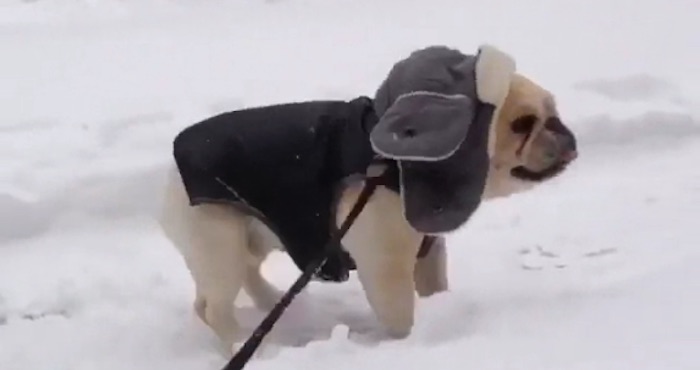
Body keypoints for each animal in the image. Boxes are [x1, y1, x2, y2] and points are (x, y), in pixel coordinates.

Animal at [156, 46, 576, 356]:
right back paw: (250, 348)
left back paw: (273, 304)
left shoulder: (429, 251)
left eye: (554, 111)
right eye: (522, 124)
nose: (565, 134)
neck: (395, 165)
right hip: (218, 242)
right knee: (215, 305)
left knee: (242, 276)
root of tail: (169, 177)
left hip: (246, 236)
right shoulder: (385, 263)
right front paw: (408, 341)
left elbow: (434, 286)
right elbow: (399, 311)